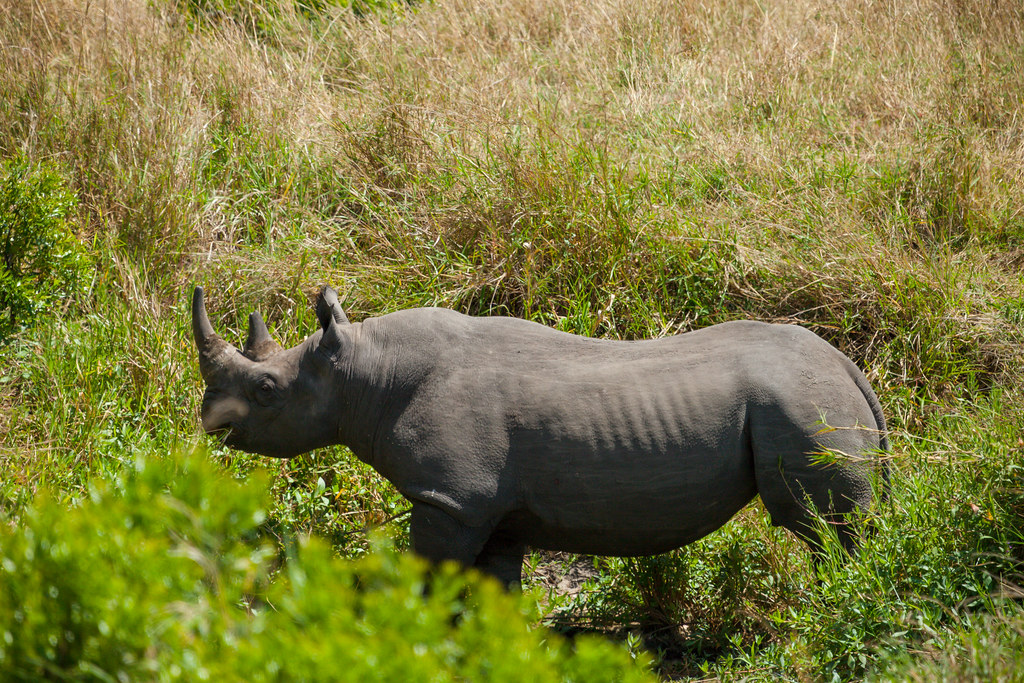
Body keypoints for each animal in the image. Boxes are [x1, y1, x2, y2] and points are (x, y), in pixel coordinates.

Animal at [192, 285, 889, 588]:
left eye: (266, 390)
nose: (209, 424)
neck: (365, 372)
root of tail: (849, 366)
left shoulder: (449, 497)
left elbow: (430, 579)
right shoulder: (488, 507)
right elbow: (494, 589)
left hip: (798, 404)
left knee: (825, 525)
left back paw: (839, 602)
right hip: (809, 398)